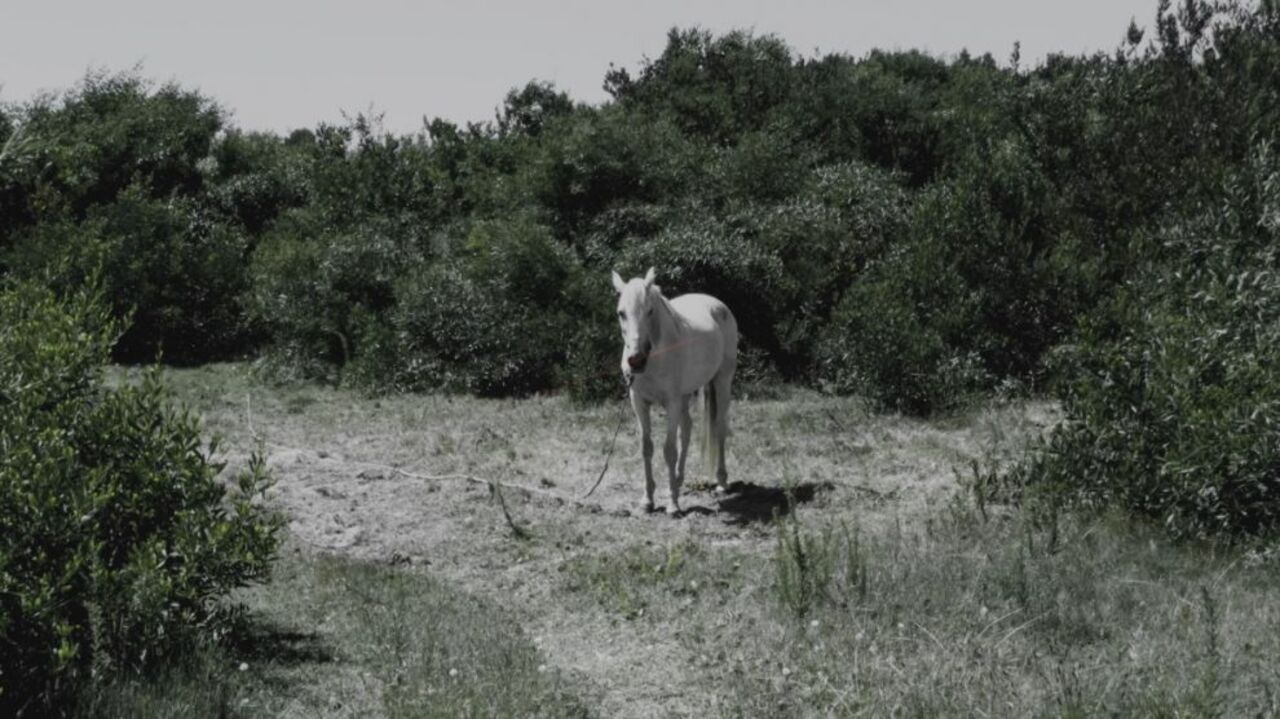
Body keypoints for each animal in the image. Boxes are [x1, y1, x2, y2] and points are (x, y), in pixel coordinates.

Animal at [611, 266, 742, 511]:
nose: (636, 361)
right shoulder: (638, 402)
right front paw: (648, 500)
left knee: (719, 428)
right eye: (621, 313)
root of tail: (717, 304)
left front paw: (672, 504)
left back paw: (721, 481)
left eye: (650, 311)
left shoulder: (670, 402)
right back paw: (679, 481)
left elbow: (669, 450)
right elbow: (647, 447)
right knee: (687, 430)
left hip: (722, 382)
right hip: (684, 395)